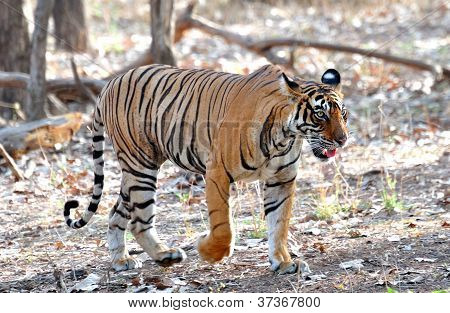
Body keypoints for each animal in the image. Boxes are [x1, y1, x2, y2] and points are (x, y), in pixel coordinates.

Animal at [62, 63, 348, 272]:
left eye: (343, 114)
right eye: (320, 114)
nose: (343, 139)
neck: (285, 136)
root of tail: (111, 83)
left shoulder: (281, 180)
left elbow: (279, 224)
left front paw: (283, 262)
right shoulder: (217, 172)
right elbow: (224, 228)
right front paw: (206, 251)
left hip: (137, 172)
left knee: (117, 214)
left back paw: (125, 260)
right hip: (140, 166)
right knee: (139, 221)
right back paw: (161, 256)